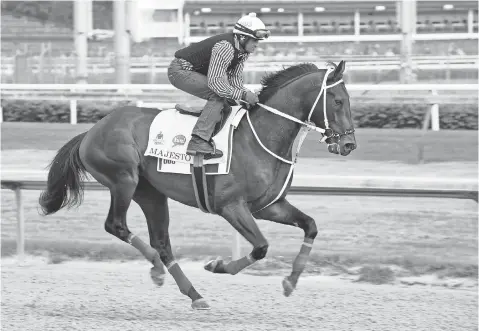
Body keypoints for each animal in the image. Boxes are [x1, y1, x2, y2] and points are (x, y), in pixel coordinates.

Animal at [38, 61, 356, 312]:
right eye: (338, 101)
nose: (349, 144)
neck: (260, 137)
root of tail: (91, 131)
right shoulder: (231, 206)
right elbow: (261, 247)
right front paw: (218, 266)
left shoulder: (269, 206)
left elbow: (310, 226)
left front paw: (291, 281)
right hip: (124, 180)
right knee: (116, 225)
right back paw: (156, 269)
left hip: (151, 193)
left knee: (162, 243)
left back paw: (194, 294)